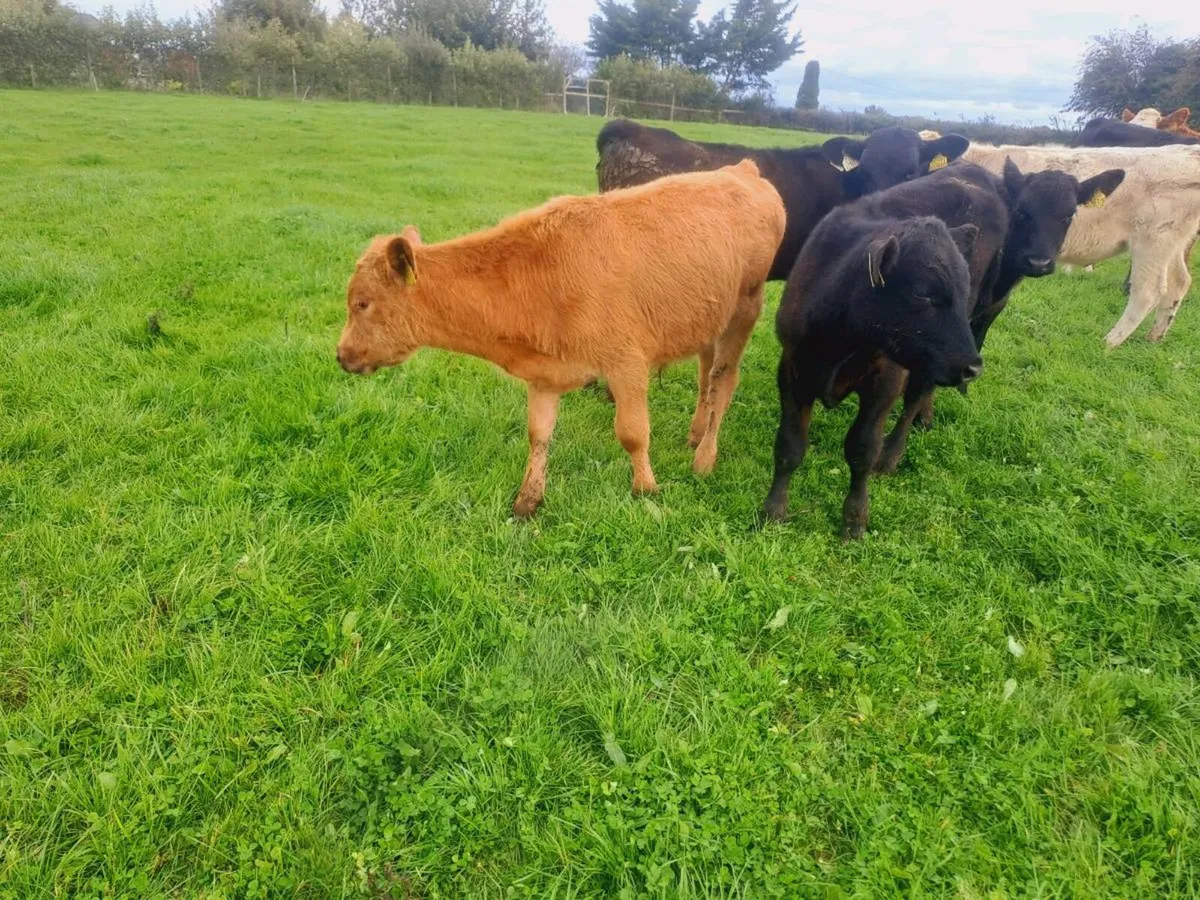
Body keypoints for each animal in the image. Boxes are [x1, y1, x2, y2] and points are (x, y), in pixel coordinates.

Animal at [336, 160, 786, 518]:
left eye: (362, 302)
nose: (341, 355)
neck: (540, 273)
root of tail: (743, 170)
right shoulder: (544, 374)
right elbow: (538, 434)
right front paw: (528, 501)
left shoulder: (626, 363)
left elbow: (632, 432)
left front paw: (646, 489)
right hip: (708, 318)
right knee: (705, 372)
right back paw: (695, 432)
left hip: (745, 309)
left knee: (724, 379)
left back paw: (704, 458)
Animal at [760, 211, 982, 540]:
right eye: (922, 293)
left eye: (963, 292)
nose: (973, 368)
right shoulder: (792, 371)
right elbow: (789, 445)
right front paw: (773, 511)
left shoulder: (885, 383)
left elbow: (862, 451)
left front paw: (854, 521)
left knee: (913, 403)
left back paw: (891, 456)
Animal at [964, 142, 1200, 345]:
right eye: (1022, 212)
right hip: (1172, 246)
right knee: (1179, 282)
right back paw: (1154, 337)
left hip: (1153, 242)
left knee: (1148, 290)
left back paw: (1109, 343)